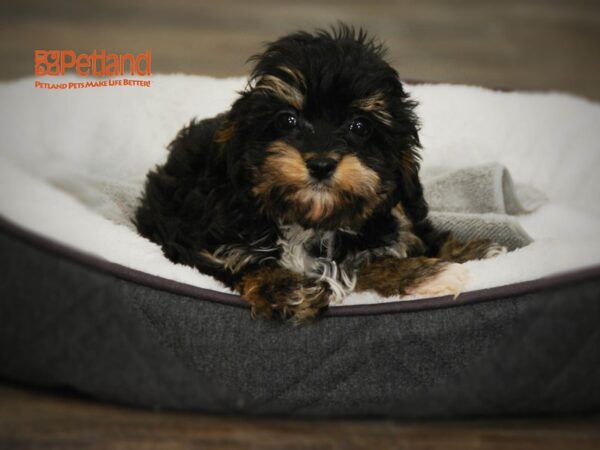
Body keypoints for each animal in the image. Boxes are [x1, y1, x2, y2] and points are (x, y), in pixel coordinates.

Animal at [136, 24, 506, 322]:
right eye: (287, 120)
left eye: (360, 126)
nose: (321, 163)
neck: (310, 223)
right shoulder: (200, 247)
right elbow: (248, 263)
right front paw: (288, 290)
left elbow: (375, 256)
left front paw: (452, 261)